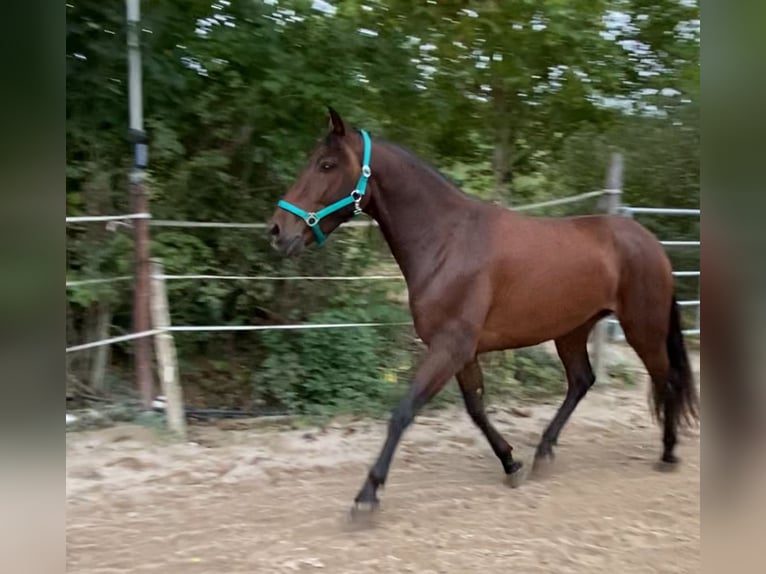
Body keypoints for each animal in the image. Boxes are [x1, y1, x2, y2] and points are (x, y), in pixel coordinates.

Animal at [268, 108, 704, 512]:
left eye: (326, 164)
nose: (277, 231)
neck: (447, 240)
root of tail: (650, 242)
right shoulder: (462, 351)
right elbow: (476, 409)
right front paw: (511, 463)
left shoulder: (450, 346)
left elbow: (404, 411)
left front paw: (367, 496)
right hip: (572, 330)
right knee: (582, 380)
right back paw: (544, 451)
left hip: (641, 327)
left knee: (665, 379)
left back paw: (668, 453)